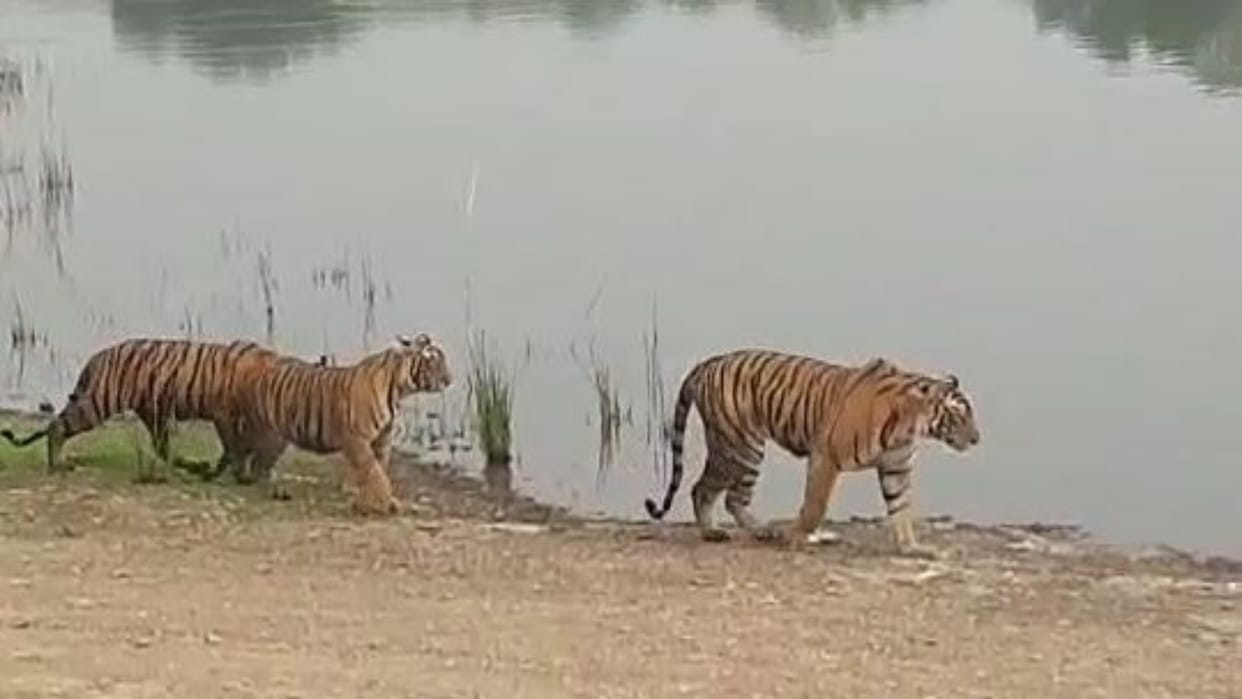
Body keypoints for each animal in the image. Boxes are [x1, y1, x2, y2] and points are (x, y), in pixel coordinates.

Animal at [0, 337, 284, 481]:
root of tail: (97, 357)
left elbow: (236, 446)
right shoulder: (224, 414)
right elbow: (232, 446)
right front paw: (235, 471)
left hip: (151, 411)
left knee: (162, 447)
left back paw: (193, 467)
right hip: (101, 403)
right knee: (57, 426)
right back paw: (57, 463)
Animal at [230, 332, 452, 515]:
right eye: (434, 362)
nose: (449, 380)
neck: (398, 389)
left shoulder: (382, 440)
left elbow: (376, 469)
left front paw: (365, 500)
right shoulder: (357, 438)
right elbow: (373, 472)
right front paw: (381, 503)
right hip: (260, 428)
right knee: (246, 455)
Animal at [643, 349, 980, 558]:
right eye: (959, 414)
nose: (977, 438)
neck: (910, 424)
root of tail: (709, 362)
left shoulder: (896, 467)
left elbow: (902, 509)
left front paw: (913, 548)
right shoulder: (826, 456)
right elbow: (815, 506)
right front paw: (798, 536)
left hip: (738, 449)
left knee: (722, 495)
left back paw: (749, 532)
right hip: (741, 446)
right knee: (709, 491)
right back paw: (735, 532)